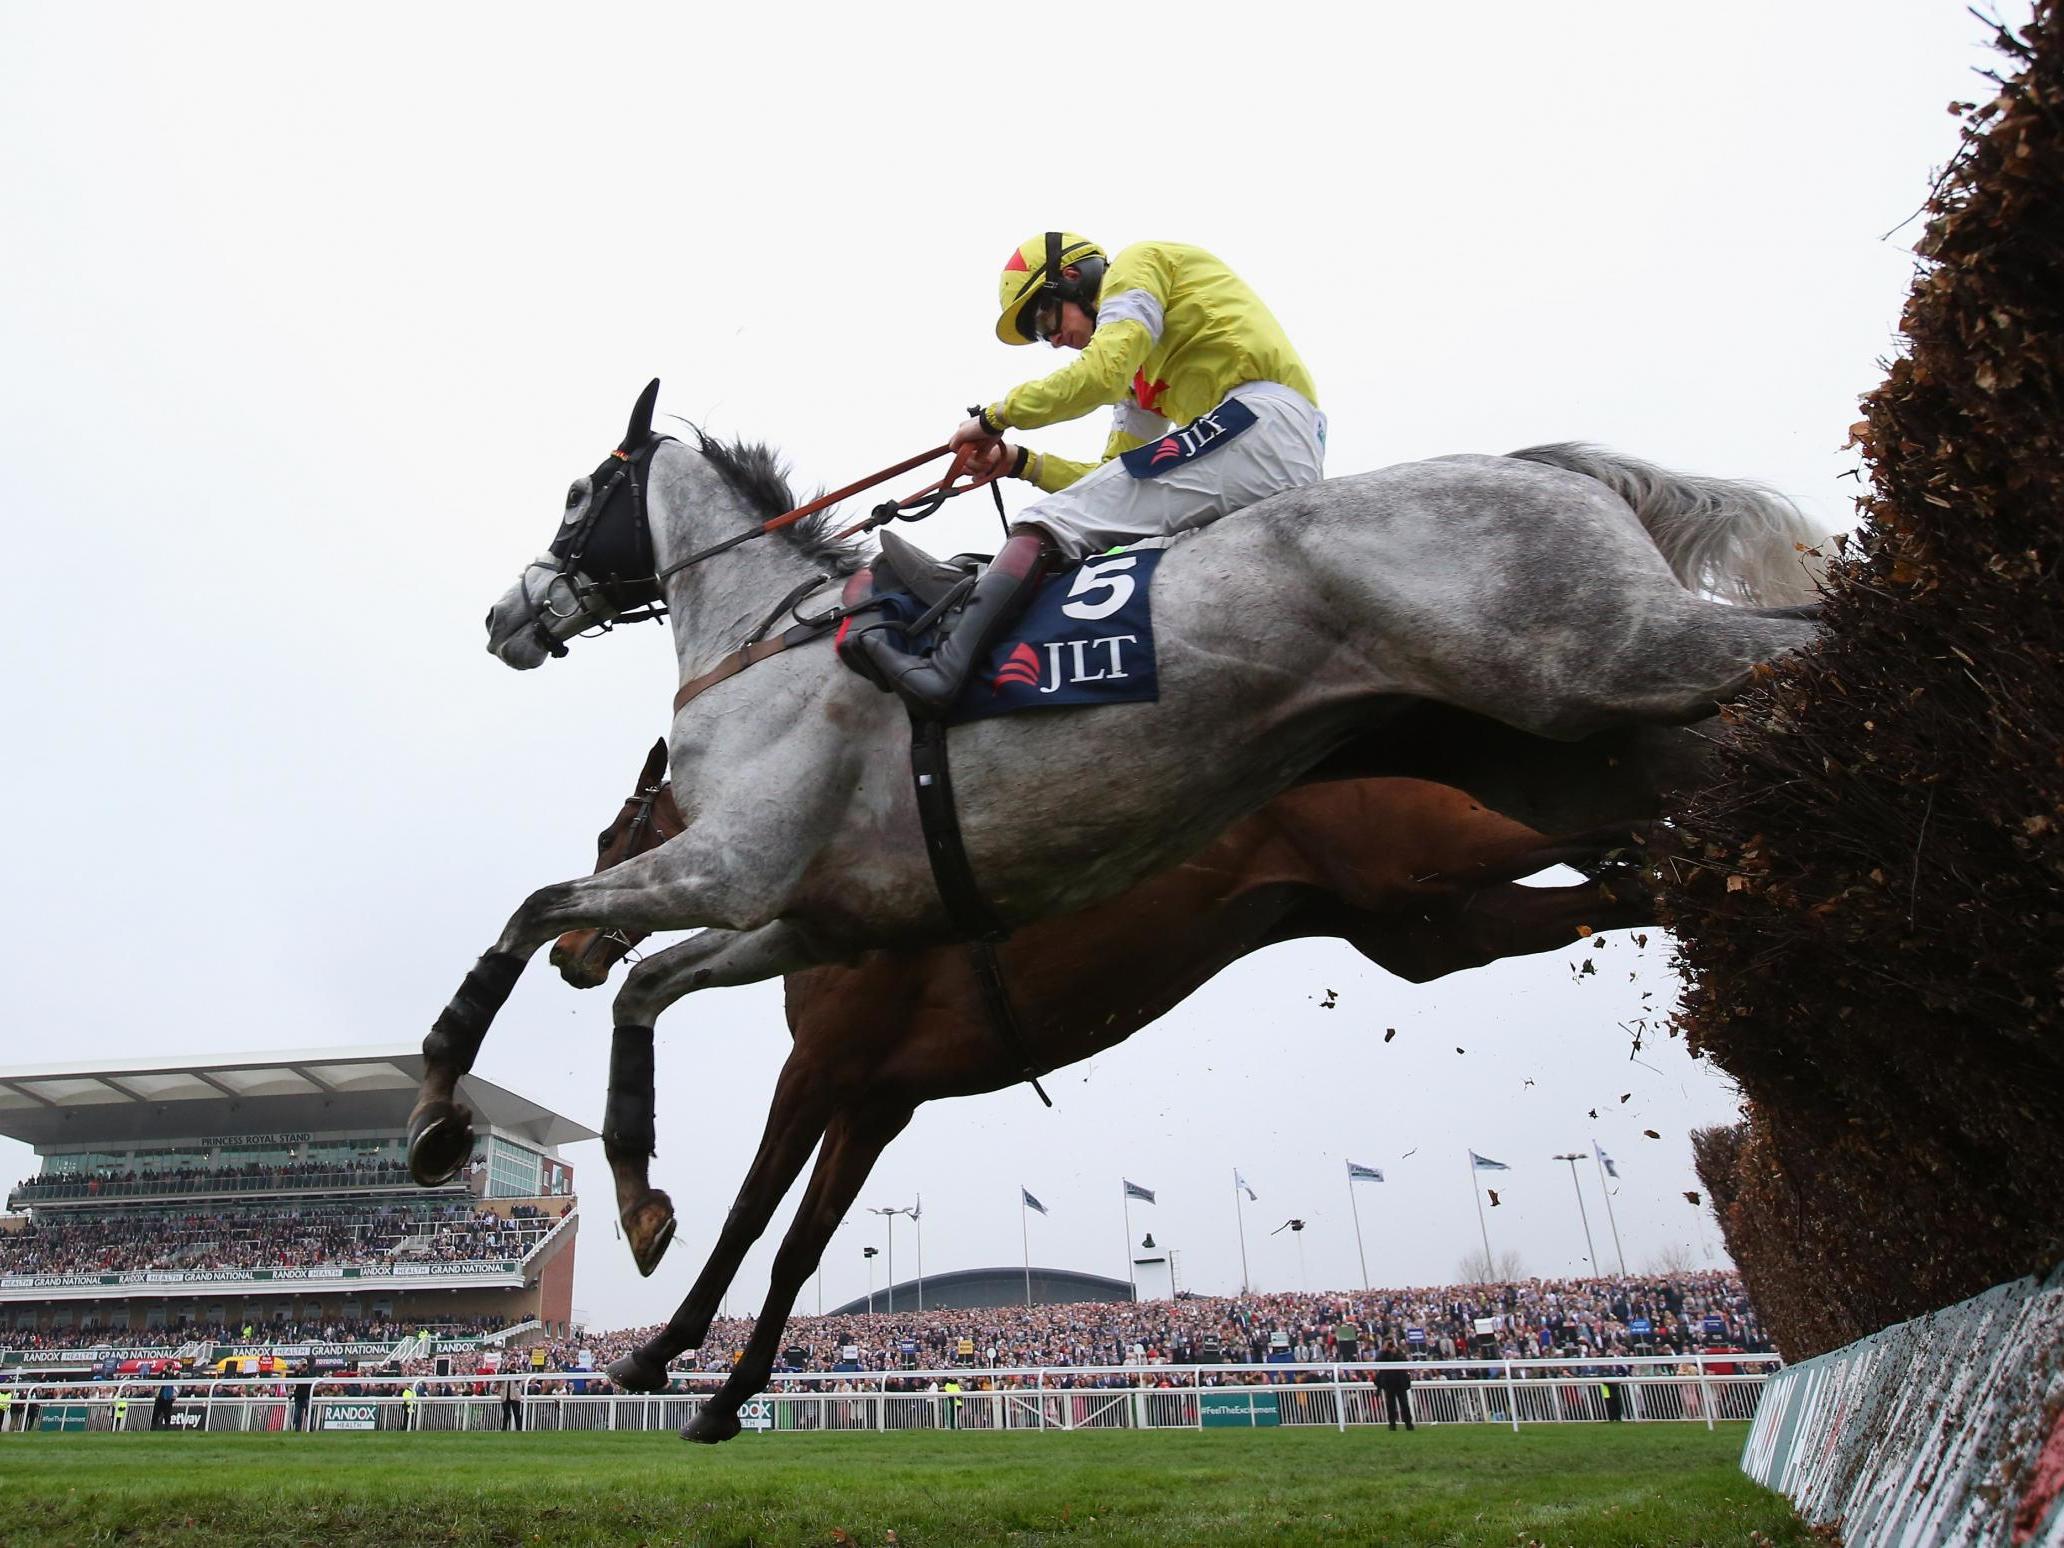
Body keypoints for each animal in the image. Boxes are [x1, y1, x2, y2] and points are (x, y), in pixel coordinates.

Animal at [414, 385, 1808, 1197]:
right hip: (1561, 746)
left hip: (1610, 661)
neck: (775, 636)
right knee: (1676, 819)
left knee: (1802, 647)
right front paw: (640, 1188)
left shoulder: (734, 863)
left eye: (581, 492)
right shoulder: (812, 912)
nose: (502, 617)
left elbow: (535, 907)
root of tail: (1548, 464)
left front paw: (436, 1102)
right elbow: (649, 986)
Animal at [557, 738, 1651, 1444]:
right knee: (1614, 888)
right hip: (1426, 926)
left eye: (612, 837)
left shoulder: (823, 1066)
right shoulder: (875, 1099)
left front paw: (656, 1353)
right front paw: (723, 1396)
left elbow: (749, 1216)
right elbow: (798, 1249)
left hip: (1439, 857)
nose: (571, 952)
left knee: (1611, 827)